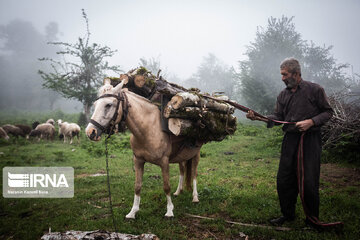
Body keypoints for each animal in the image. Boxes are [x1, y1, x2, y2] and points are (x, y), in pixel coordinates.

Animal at [85, 81, 202, 219]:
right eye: (95, 105)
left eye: (108, 105)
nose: (90, 132)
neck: (148, 129)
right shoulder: (138, 160)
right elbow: (137, 186)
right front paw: (133, 212)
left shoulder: (164, 162)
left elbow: (166, 186)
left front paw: (169, 211)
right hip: (182, 156)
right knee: (182, 170)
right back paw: (178, 191)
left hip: (196, 155)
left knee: (194, 173)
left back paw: (195, 197)